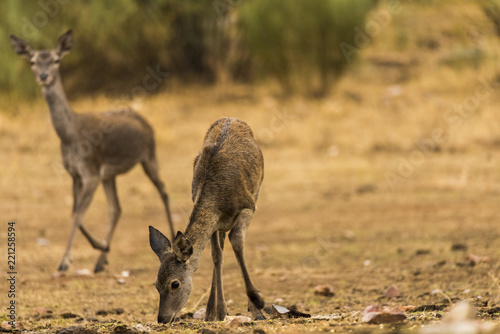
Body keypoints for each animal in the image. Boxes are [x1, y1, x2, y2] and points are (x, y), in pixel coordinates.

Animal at [8, 30, 178, 272]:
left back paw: (172, 238)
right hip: (110, 175)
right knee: (116, 208)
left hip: (149, 155)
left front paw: (64, 262)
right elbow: (74, 212)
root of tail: (145, 121)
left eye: (56, 60)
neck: (71, 137)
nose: (43, 75)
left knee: (163, 190)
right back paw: (101, 260)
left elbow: (77, 215)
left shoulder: (91, 172)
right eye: (33, 61)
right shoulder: (75, 174)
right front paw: (99, 247)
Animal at [148, 117, 266, 324]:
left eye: (174, 284)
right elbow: (216, 256)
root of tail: (233, 118)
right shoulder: (215, 223)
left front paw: (258, 302)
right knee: (220, 252)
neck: (218, 199)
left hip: (257, 189)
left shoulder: (248, 206)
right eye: (156, 284)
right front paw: (216, 312)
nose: (162, 318)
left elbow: (237, 240)